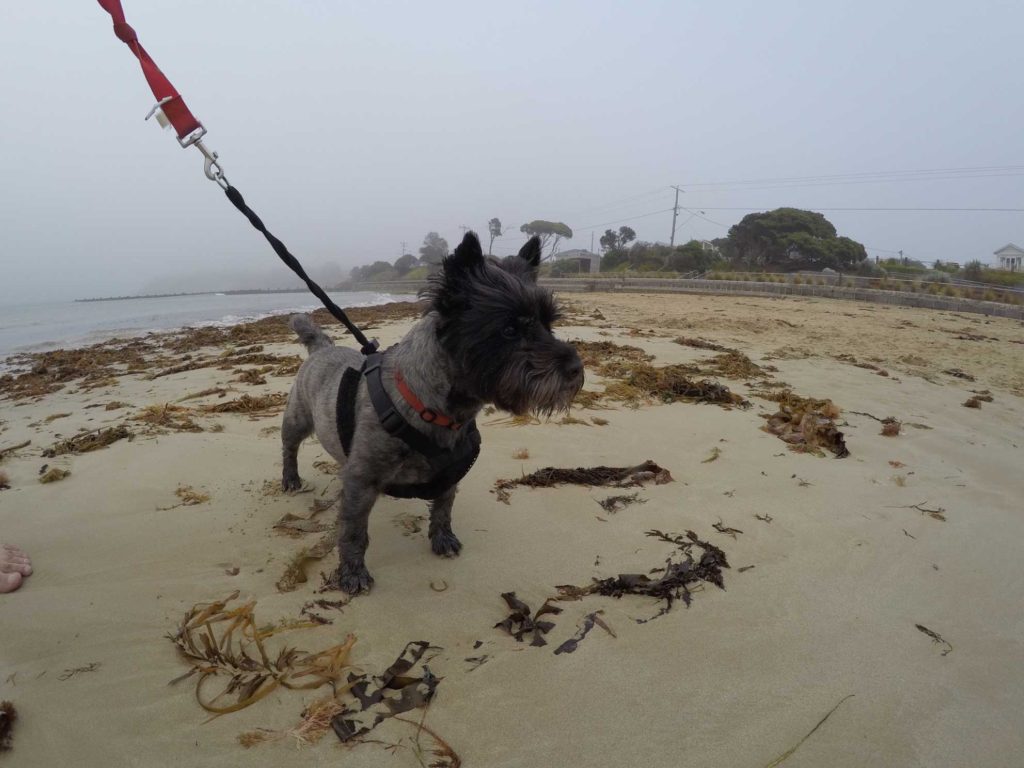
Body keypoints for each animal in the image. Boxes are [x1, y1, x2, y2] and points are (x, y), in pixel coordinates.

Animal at [278, 233, 585, 593]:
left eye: (549, 324)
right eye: (509, 330)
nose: (576, 369)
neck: (431, 407)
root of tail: (322, 346)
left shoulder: (450, 475)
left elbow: (442, 508)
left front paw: (443, 538)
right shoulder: (361, 480)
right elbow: (353, 532)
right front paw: (352, 572)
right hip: (297, 420)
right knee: (289, 447)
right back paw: (290, 479)